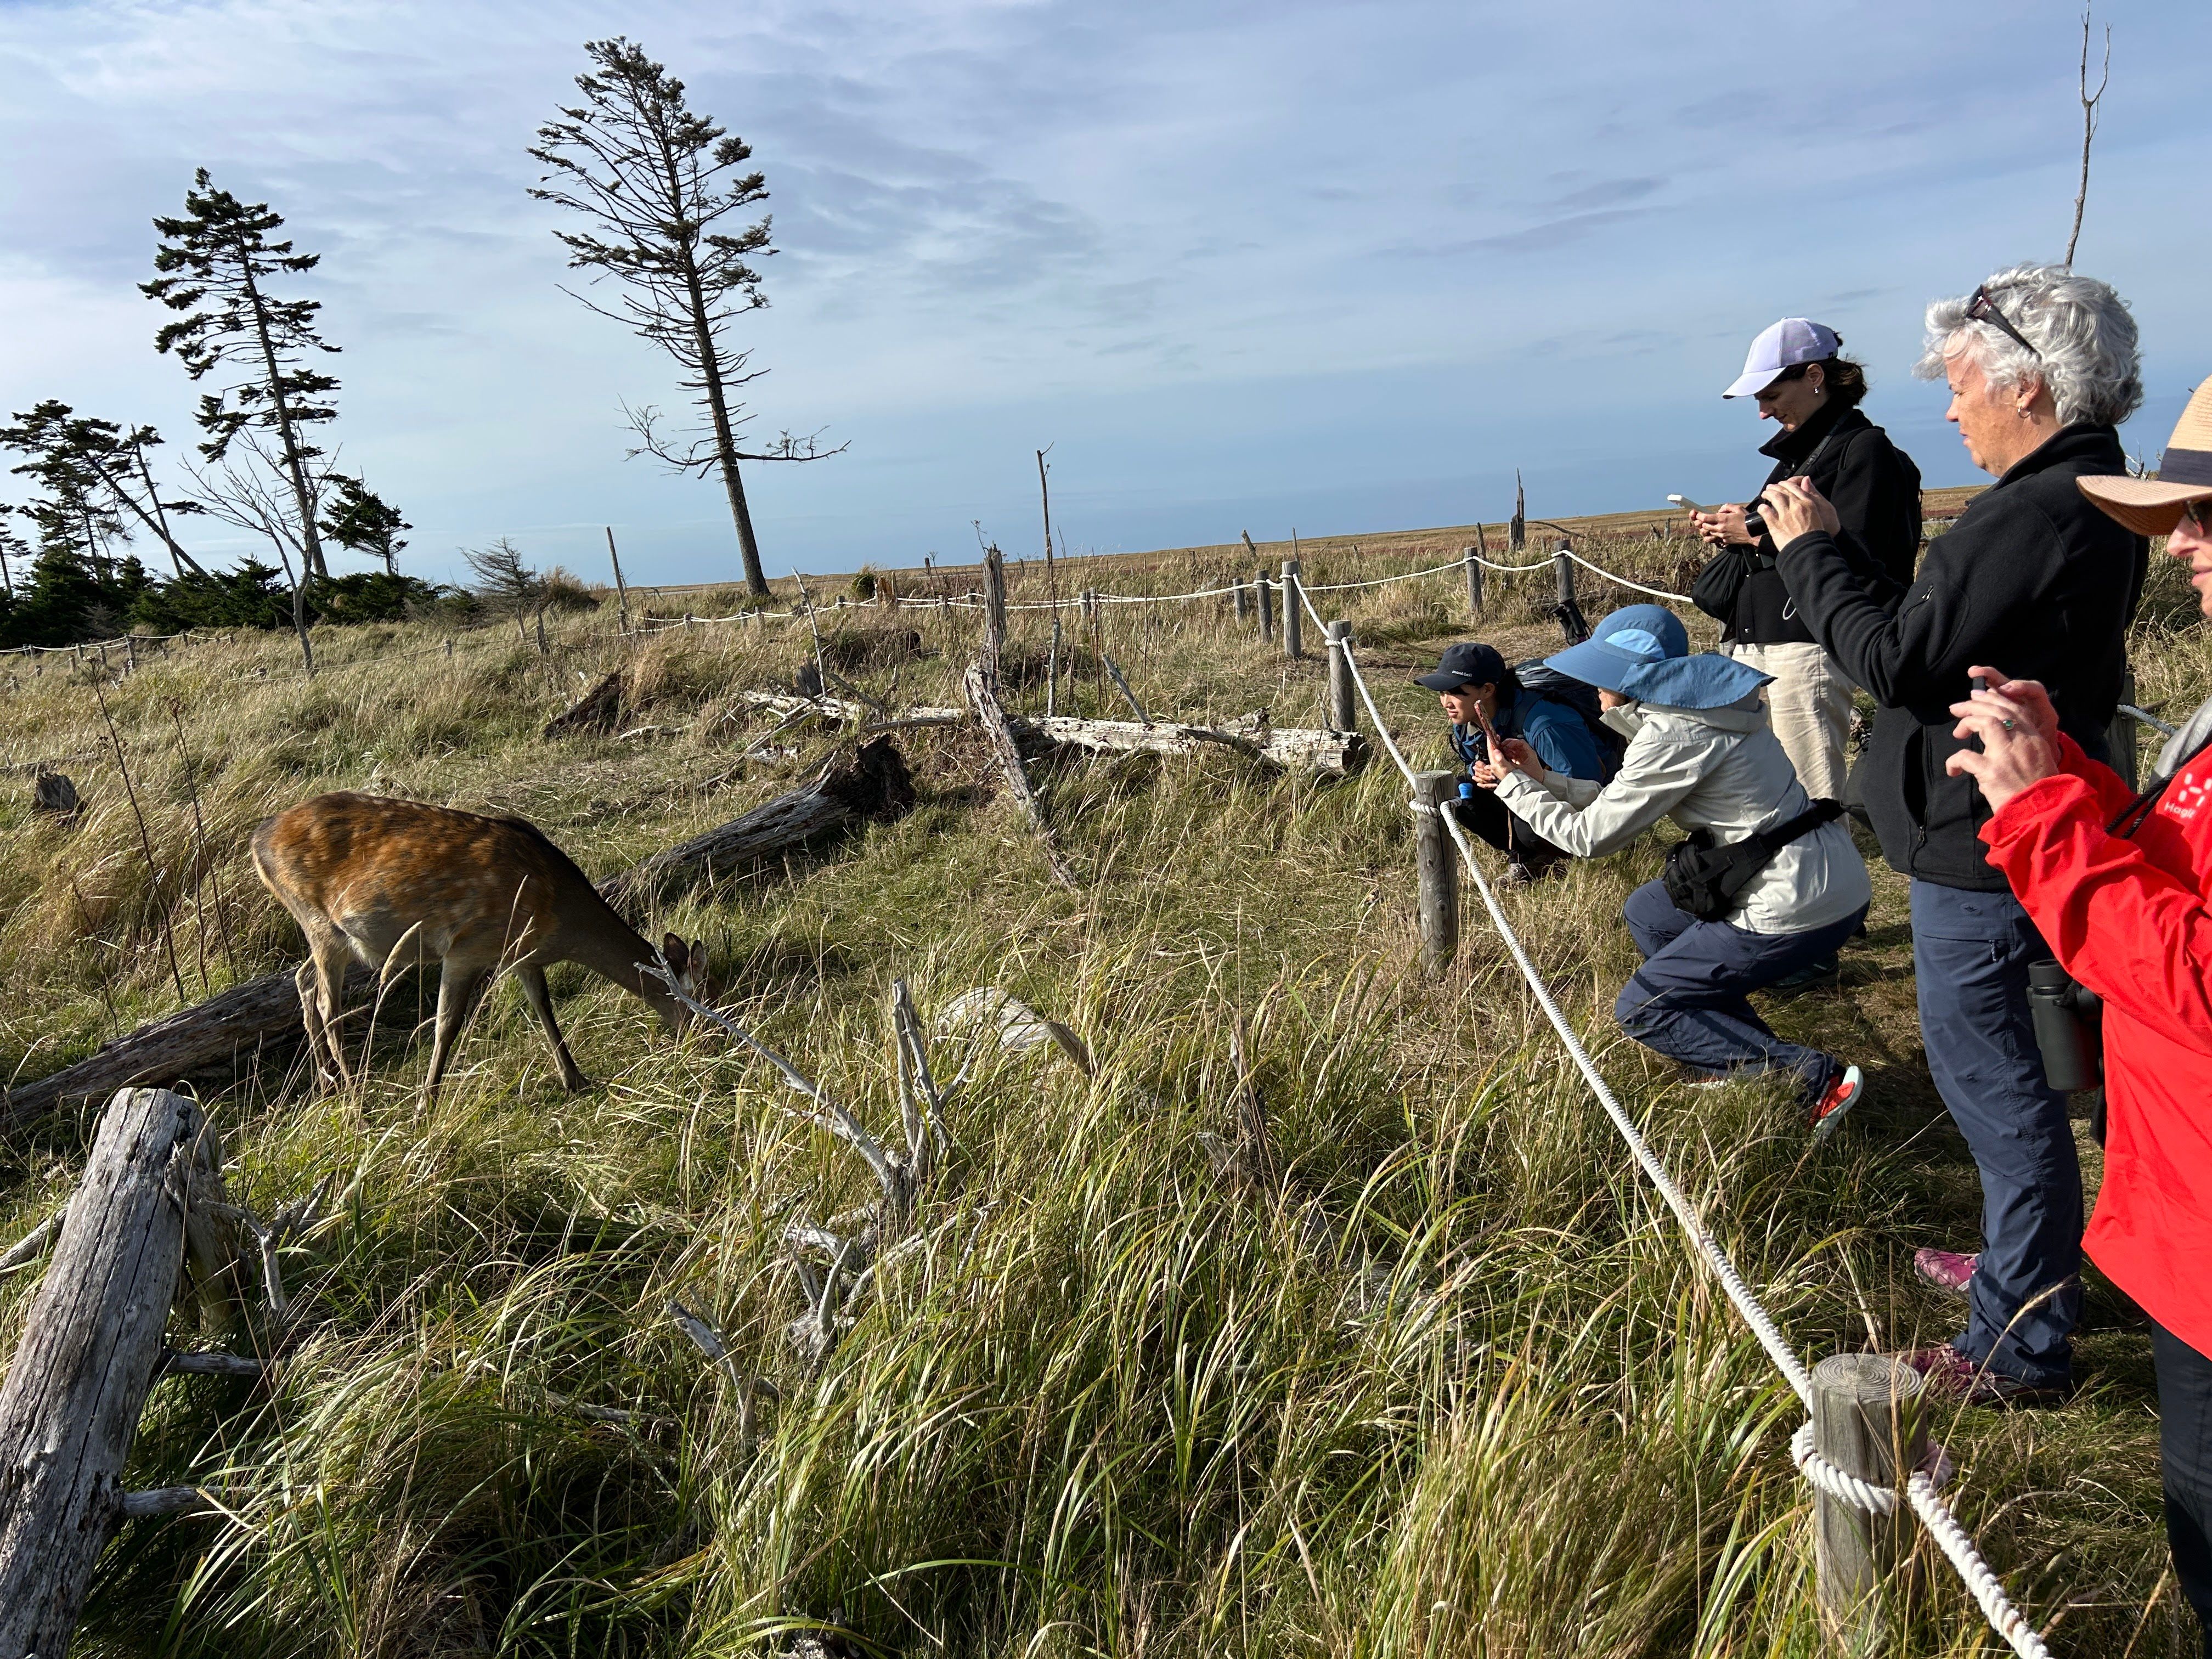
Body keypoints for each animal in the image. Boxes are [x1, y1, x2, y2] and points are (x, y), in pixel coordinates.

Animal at [251, 791, 716, 1099]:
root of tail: (257, 838)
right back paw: (356, 1099)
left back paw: (328, 1082)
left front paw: (576, 1079)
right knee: (328, 1005)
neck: (560, 916)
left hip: (329, 935)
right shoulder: (468, 946)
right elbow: (446, 1026)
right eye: (705, 1006)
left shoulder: (522, 954)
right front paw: (426, 1103)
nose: (710, 1049)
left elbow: (543, 1006)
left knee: (303, 981)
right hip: (320, 923)